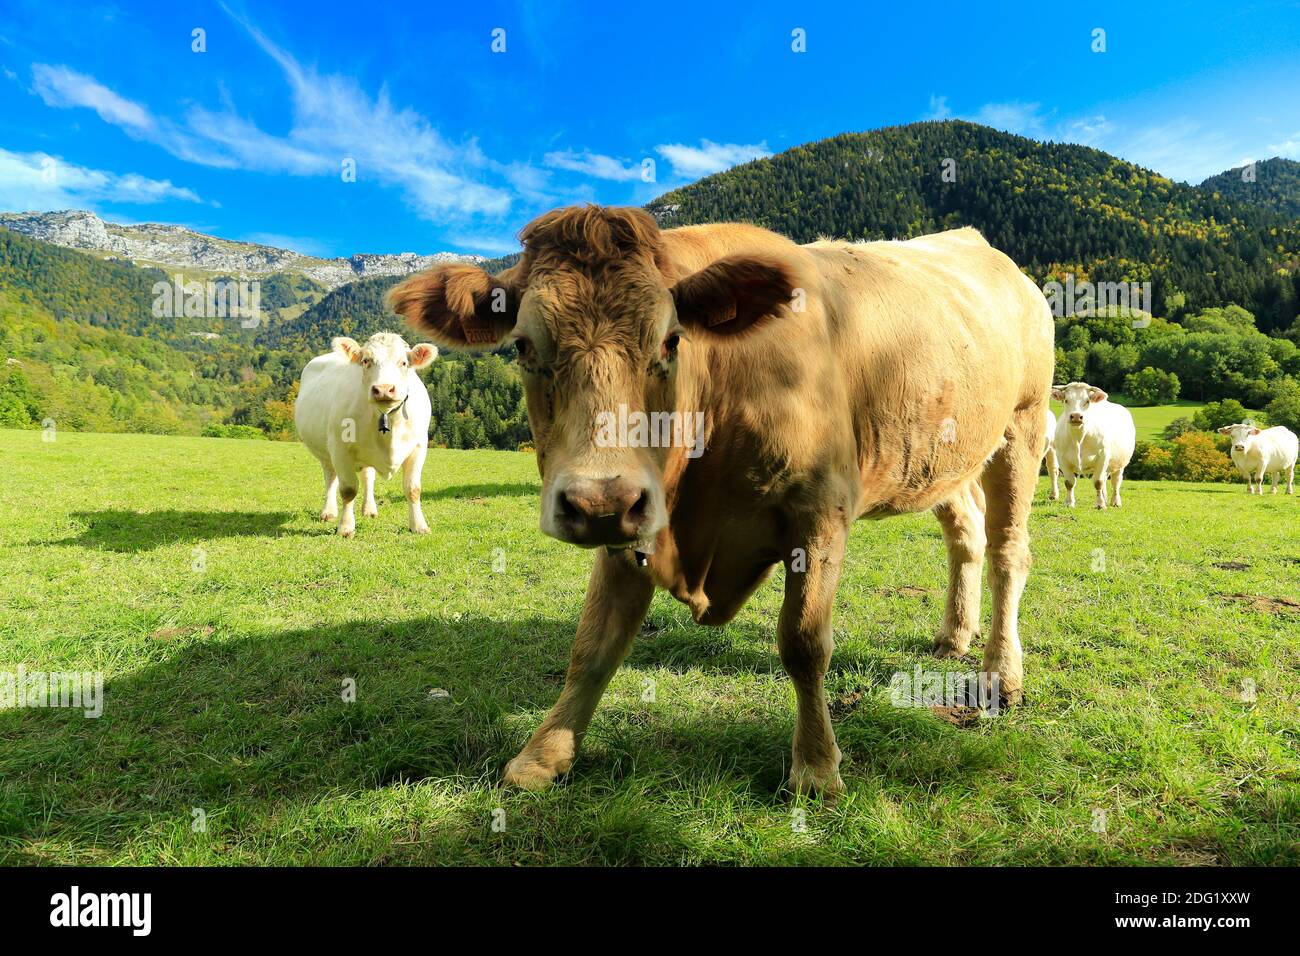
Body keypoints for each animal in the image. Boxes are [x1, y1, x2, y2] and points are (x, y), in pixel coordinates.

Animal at [294, 332, 437, 537]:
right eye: (366, 361)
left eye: (403, 362)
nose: (384, 389)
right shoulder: (340, 448)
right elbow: (348, 490)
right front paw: (345, 527)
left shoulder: (418, 447)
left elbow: (413, 489)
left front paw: (419, 525)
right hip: (325, 453)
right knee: (331, 478)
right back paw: (329, 512)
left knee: (368, 477)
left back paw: (369, 509)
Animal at [389, 206, 1055, 797]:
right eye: (525, 347)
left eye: (670, 341)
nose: (596, 502)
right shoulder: (638, 513)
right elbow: (593, 643)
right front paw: (543, 754)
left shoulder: (820, 511)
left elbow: (804, 643)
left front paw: (817, 768)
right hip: (943, 453)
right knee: (966, 534)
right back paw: (954, 636)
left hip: (1022, 425)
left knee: (1007, 552)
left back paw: (1001, 672)